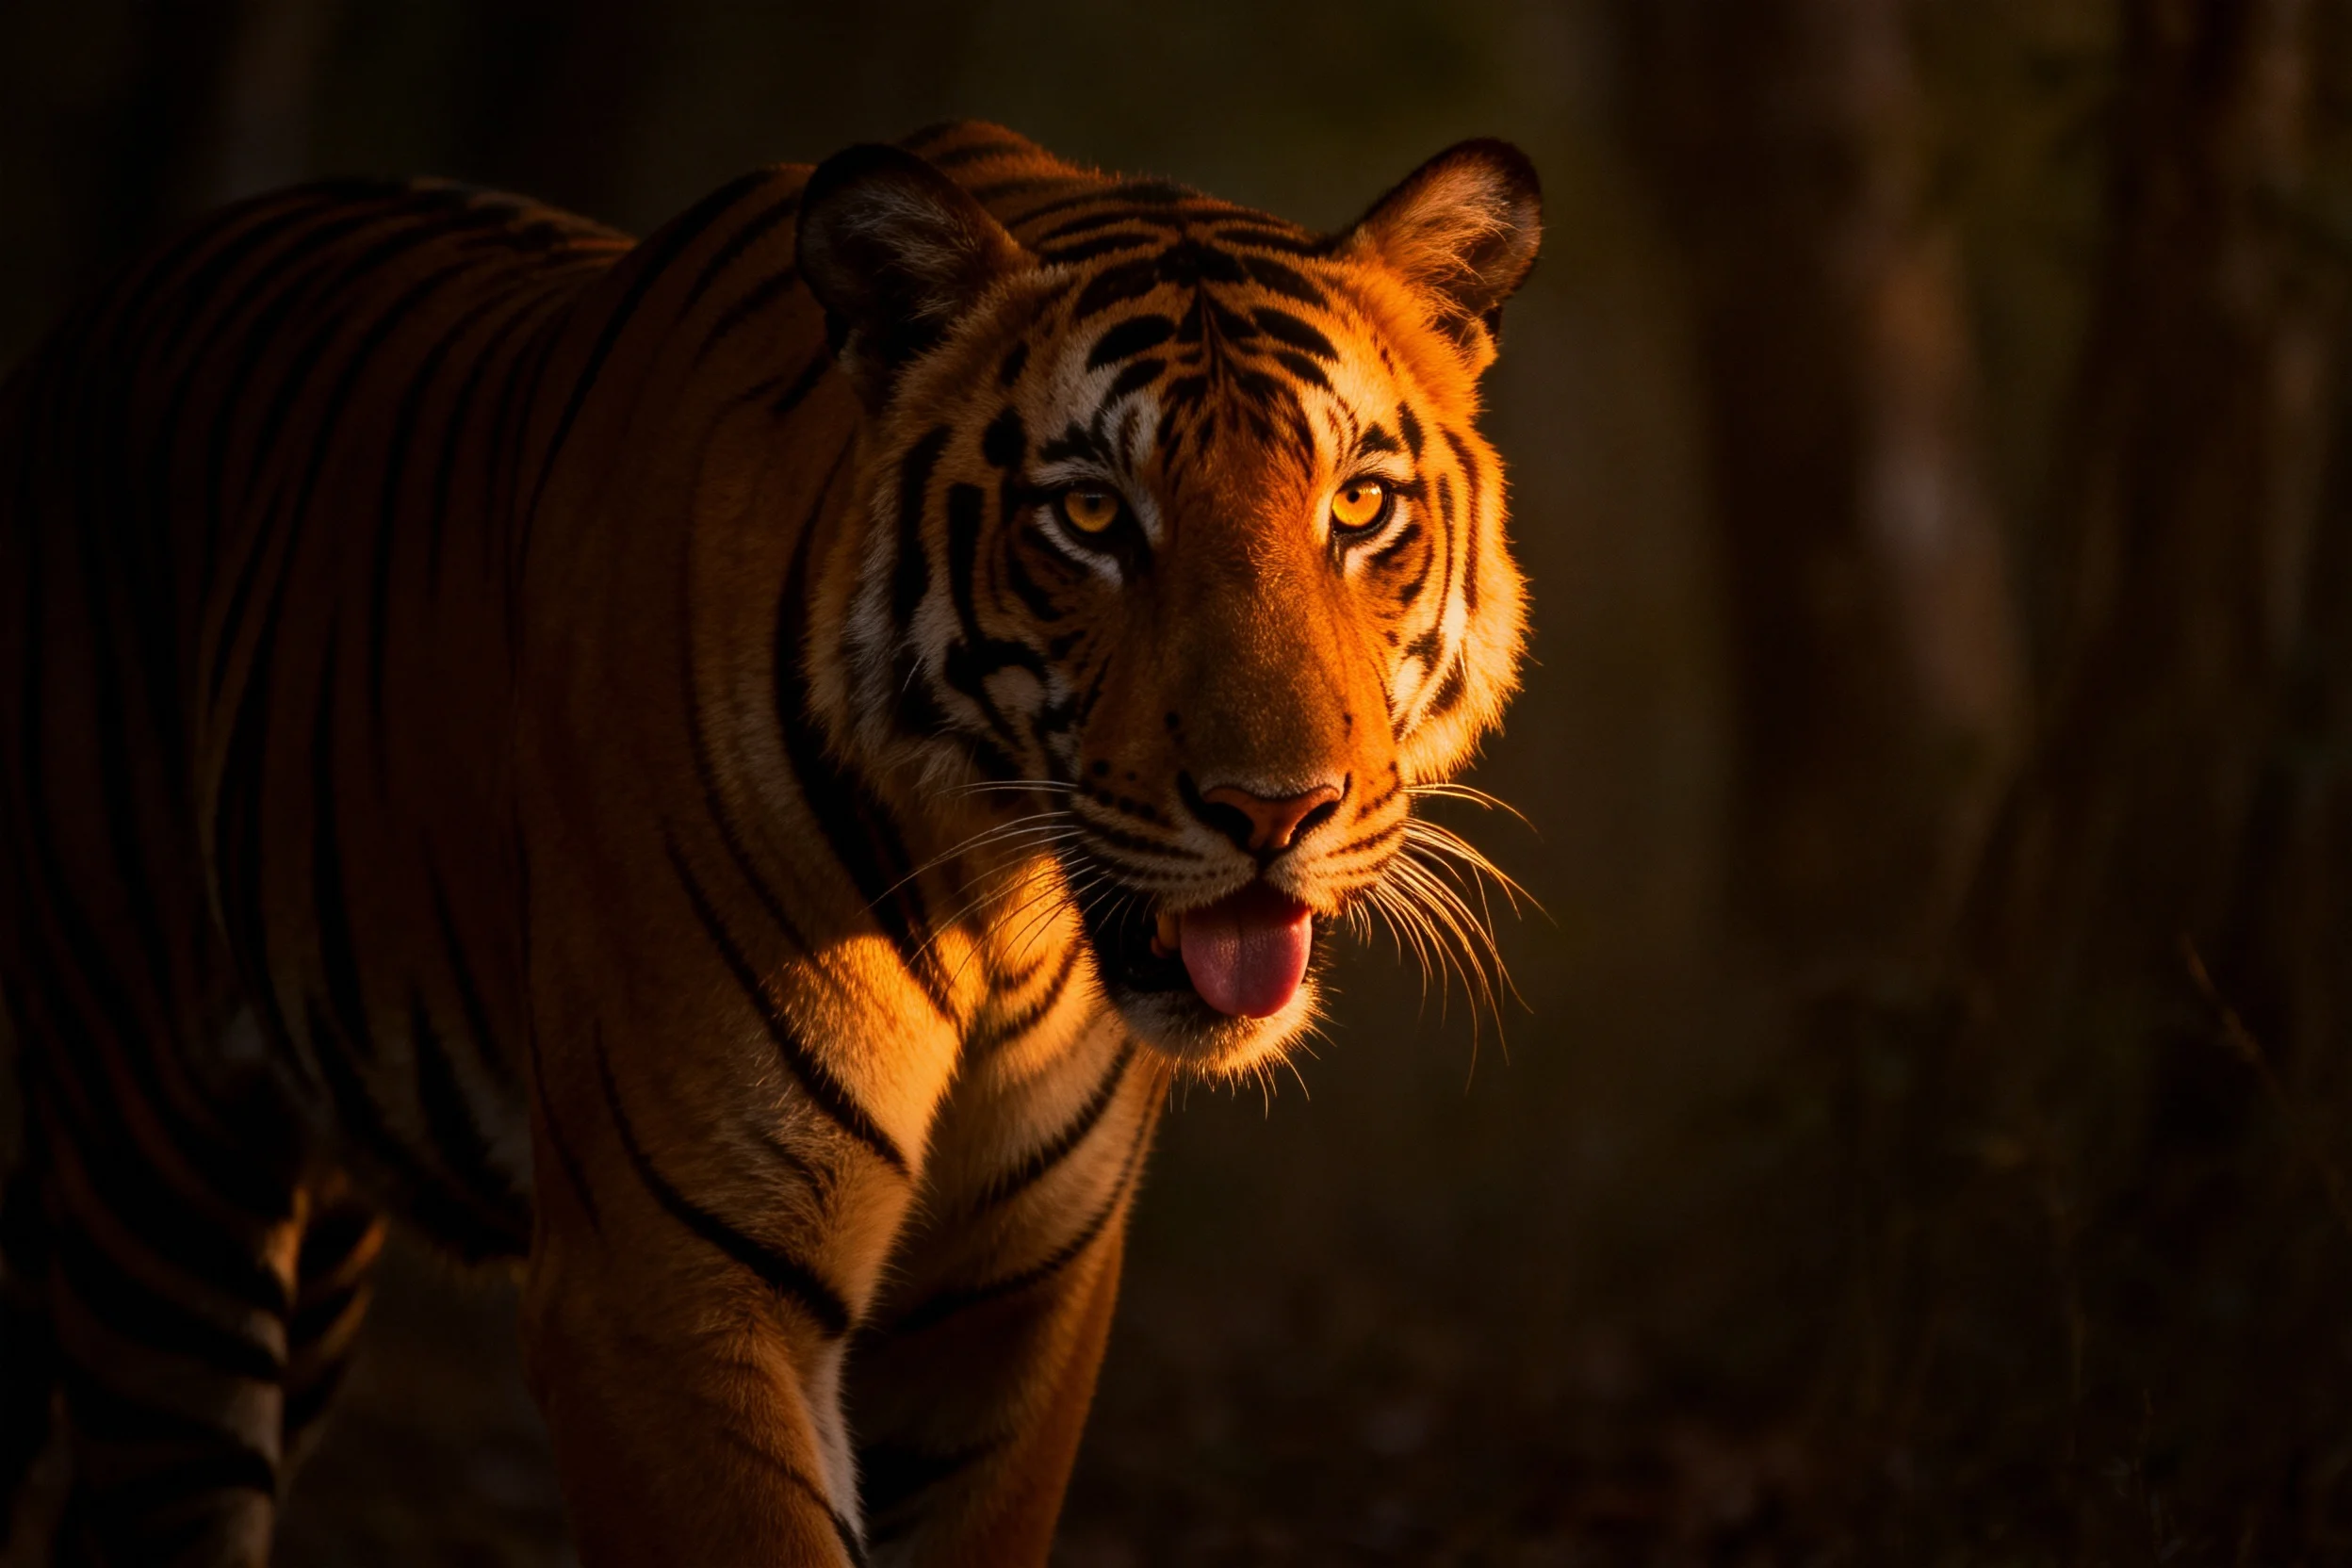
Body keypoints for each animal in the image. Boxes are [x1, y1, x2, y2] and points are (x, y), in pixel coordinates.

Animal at [0, 120, 1540, 1564]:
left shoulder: (1014, 1310)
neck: (1001, 907)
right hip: (160, 1178)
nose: (1277, 809)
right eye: (1092, 513)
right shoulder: (668, 1286)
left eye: (1359, 504)